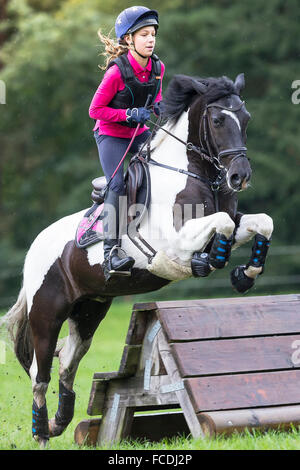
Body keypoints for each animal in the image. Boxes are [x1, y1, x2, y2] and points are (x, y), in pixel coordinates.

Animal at [2, 72, 274, 444]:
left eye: (245, 119)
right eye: (218, 120)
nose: (239, 177)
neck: (192, 173)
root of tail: (34, 250)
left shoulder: (234, 221)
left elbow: (261, 222)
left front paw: (244, 275)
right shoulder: (174, 241)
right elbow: (219, 225)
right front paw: (212, 258)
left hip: (89, 310)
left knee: (69, 360)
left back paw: (61, 420)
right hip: (46, 315)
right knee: (39, 373)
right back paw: (42, 432)